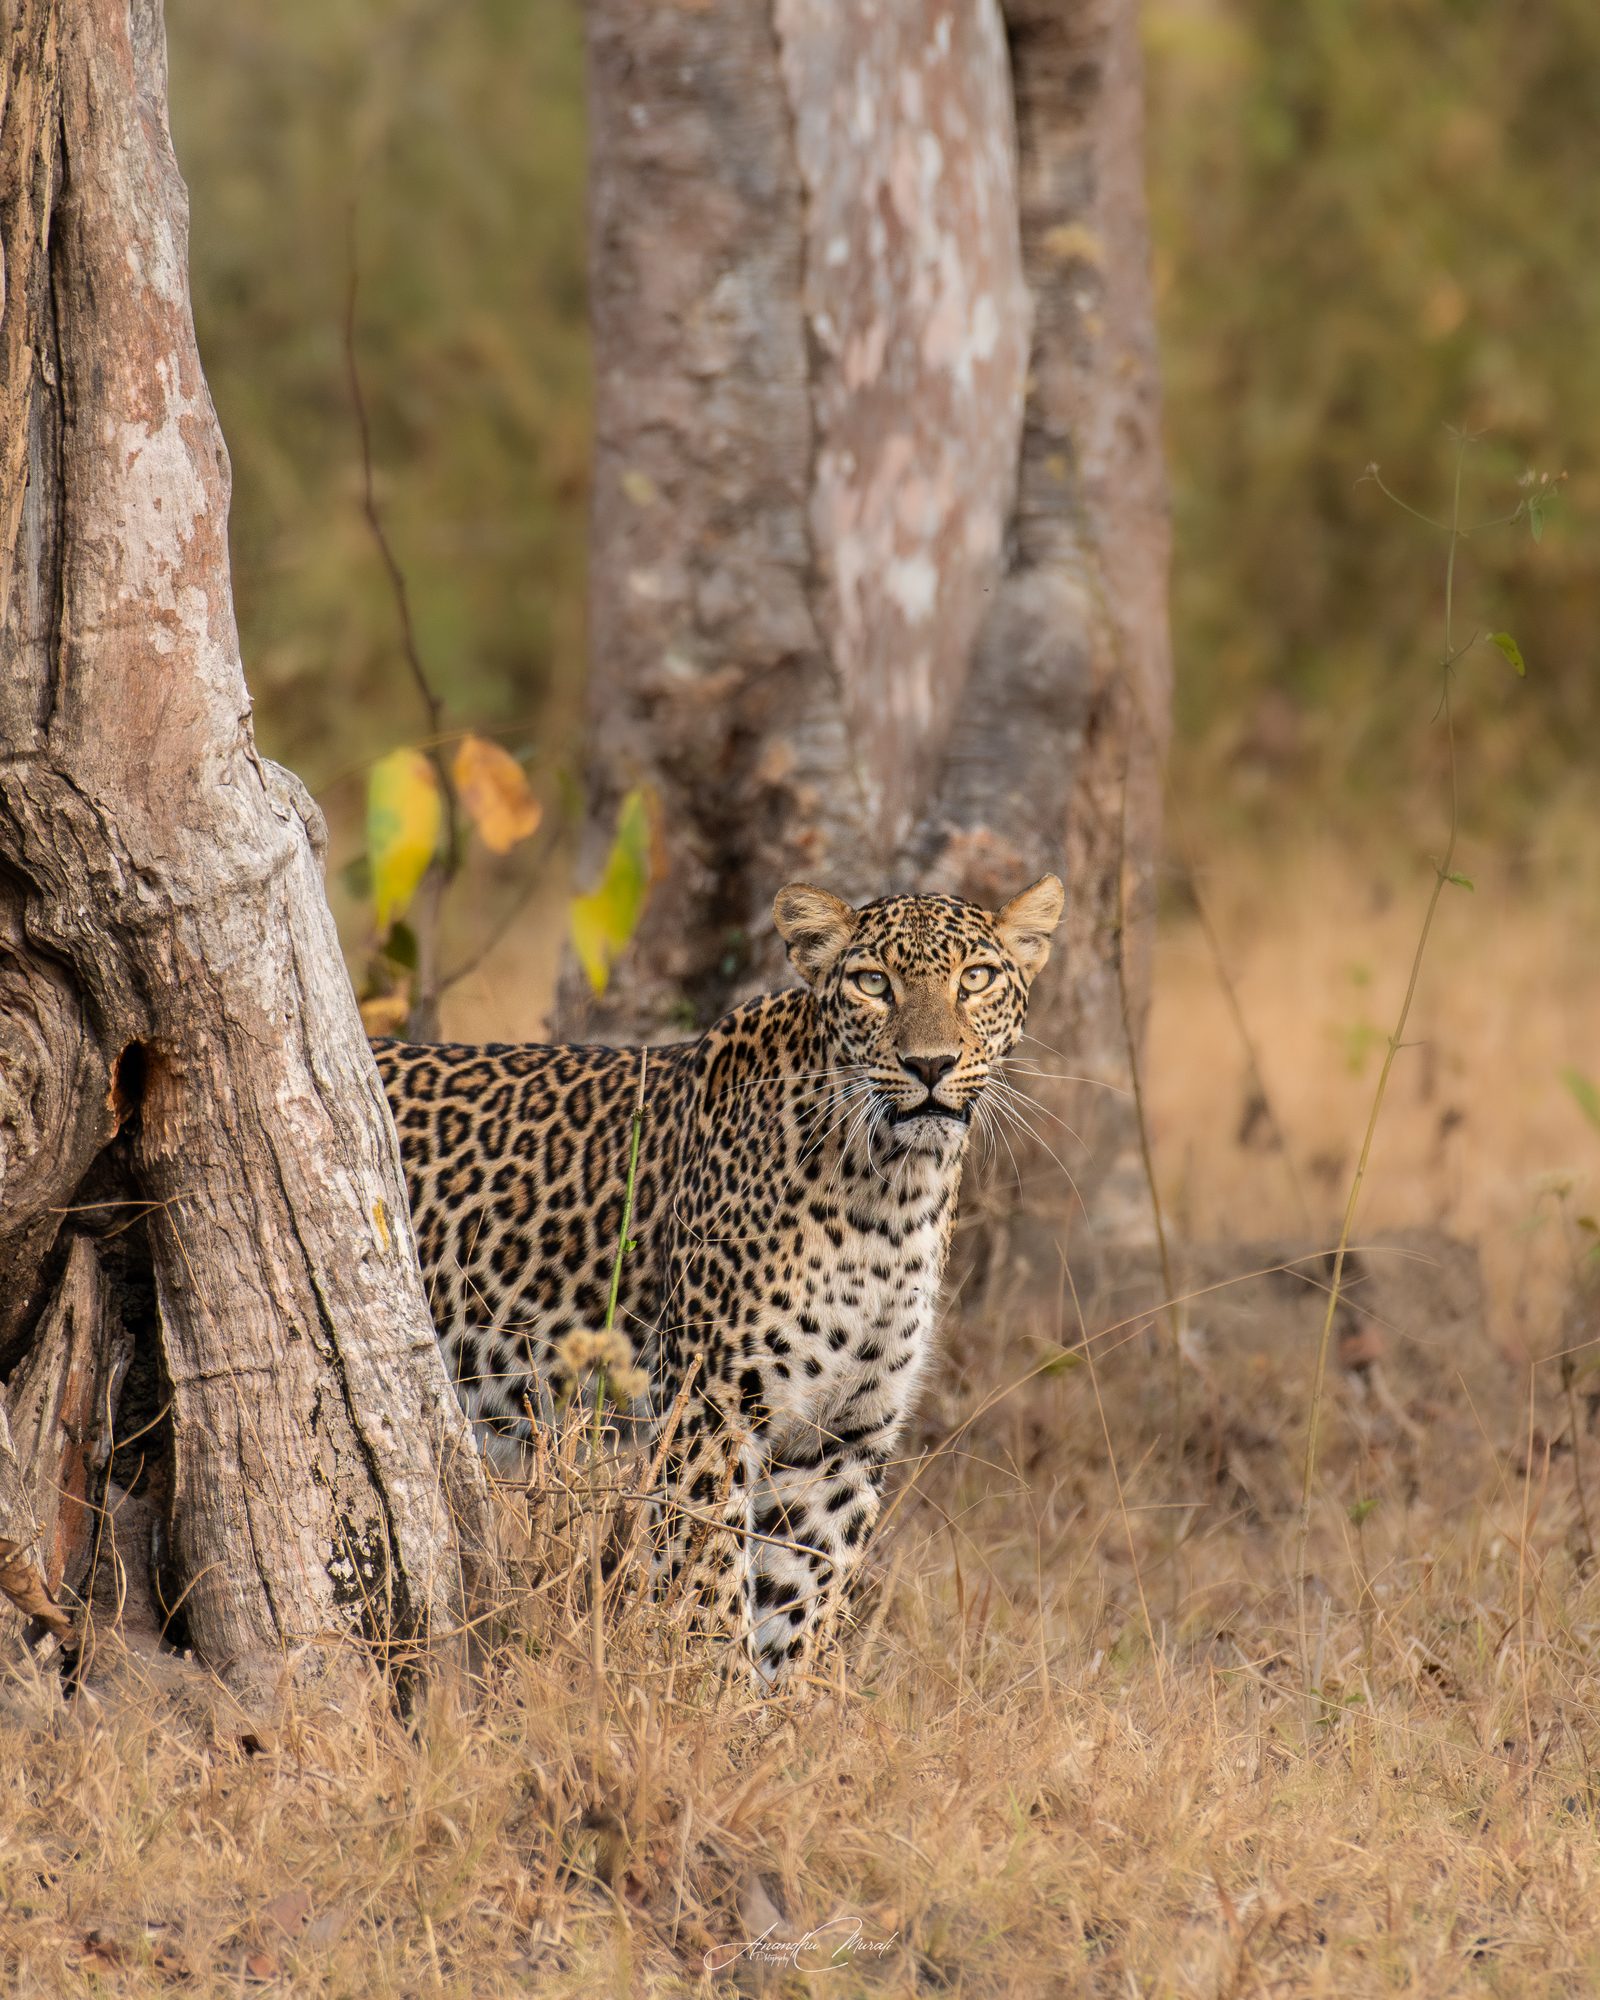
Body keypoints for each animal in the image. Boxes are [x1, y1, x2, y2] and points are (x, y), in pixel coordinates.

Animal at [375, 875, 1064, 1687]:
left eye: (975, 979)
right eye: (873, 985)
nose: (930, 1064)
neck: (891, 1198)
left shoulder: (841, 1437)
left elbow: (799, 1596)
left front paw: (780, 1716)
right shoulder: (711, 1408)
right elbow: (708, 1584)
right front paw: (713, 1696)